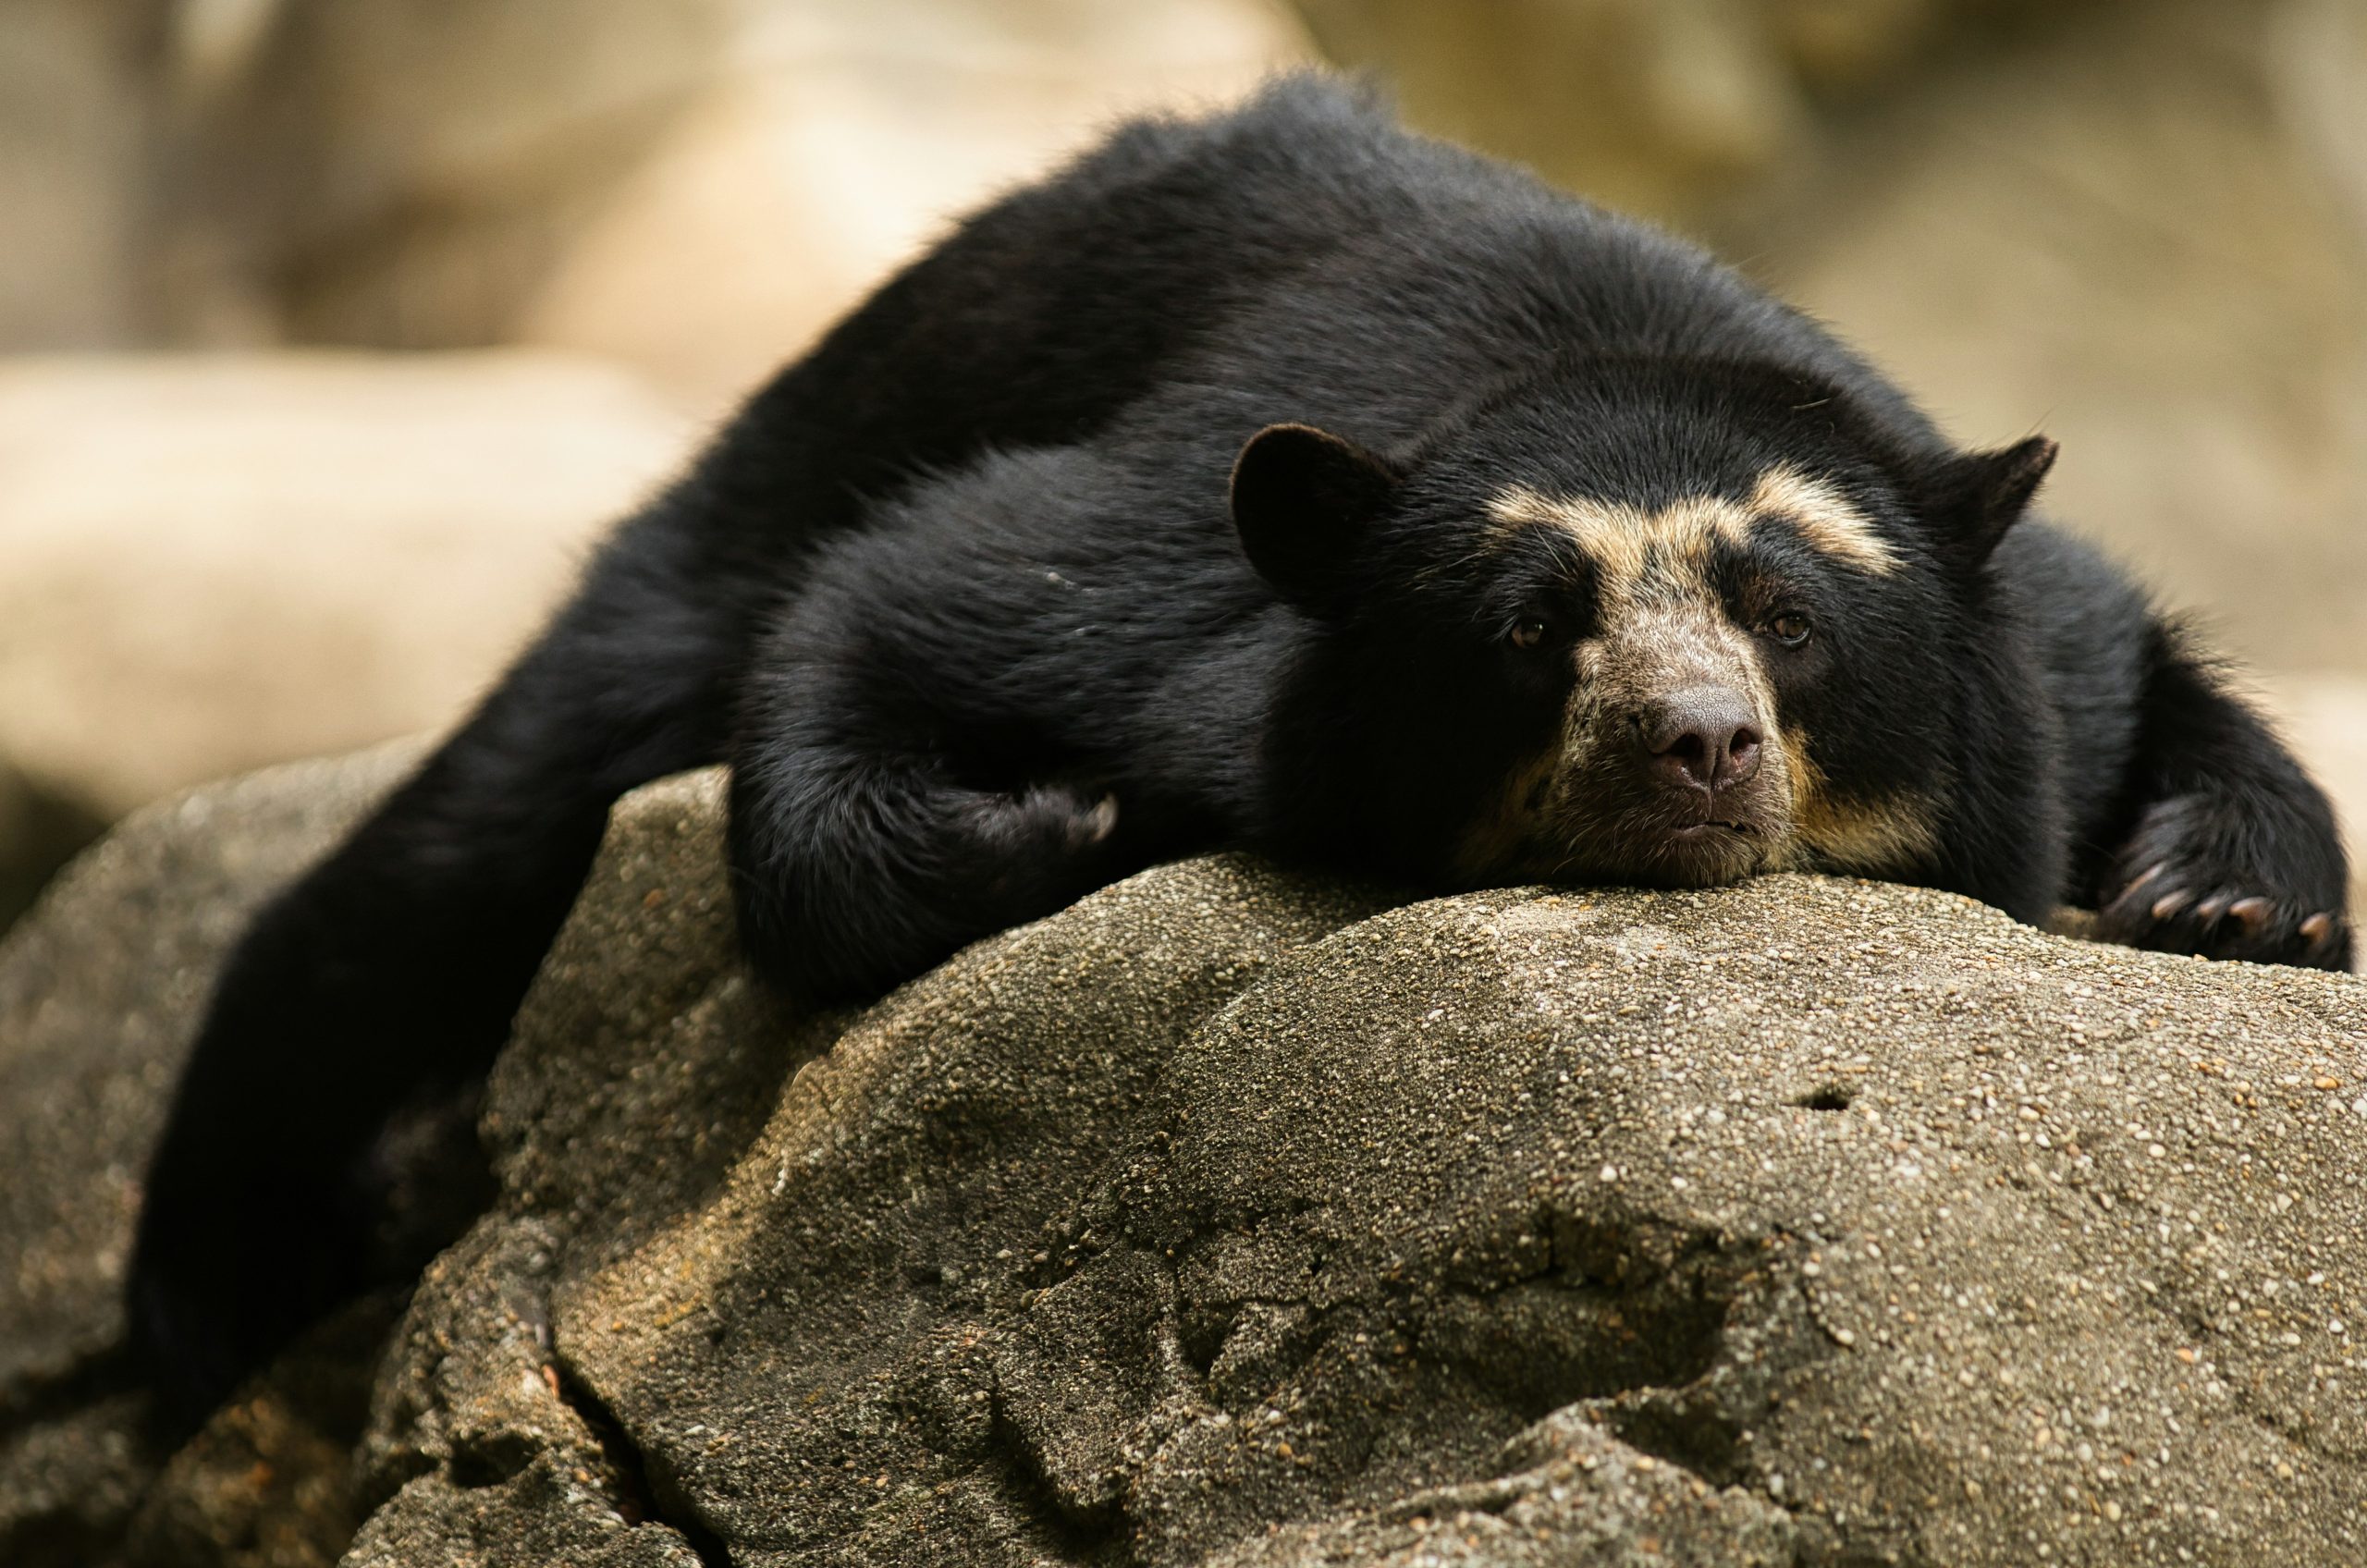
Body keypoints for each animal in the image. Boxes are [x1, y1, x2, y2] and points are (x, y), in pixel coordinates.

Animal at [128, 74, 2352, 1430]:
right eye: (1526, 627)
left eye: (1790, 617)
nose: (1695, 749)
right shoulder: (1142, 574)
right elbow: (911, 594)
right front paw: (1054, 814)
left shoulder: (2032, 625)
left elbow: (2139, 676)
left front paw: (2219, 900)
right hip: (773, 452)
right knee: (464, 841)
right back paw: (202, 1313)